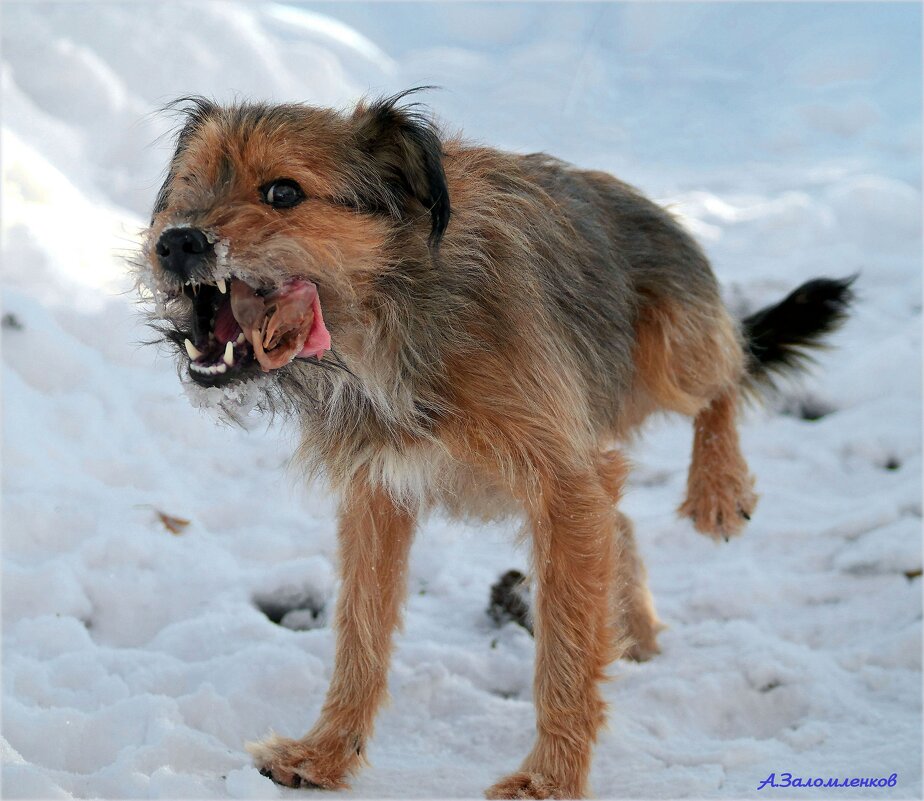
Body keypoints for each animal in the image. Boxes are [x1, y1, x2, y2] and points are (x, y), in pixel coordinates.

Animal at [141, 90, 856, 796]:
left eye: (283, 193)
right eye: (187, 188)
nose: (175, 243)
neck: (394, 324)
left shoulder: (560, 481)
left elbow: (564, 653)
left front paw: (549, 780)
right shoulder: (379, 494)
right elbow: (360, 632)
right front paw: (326, 752)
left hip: (670, 353)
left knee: (725, 377)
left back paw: (718, 488)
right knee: (620, 518)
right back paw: (638, 626)